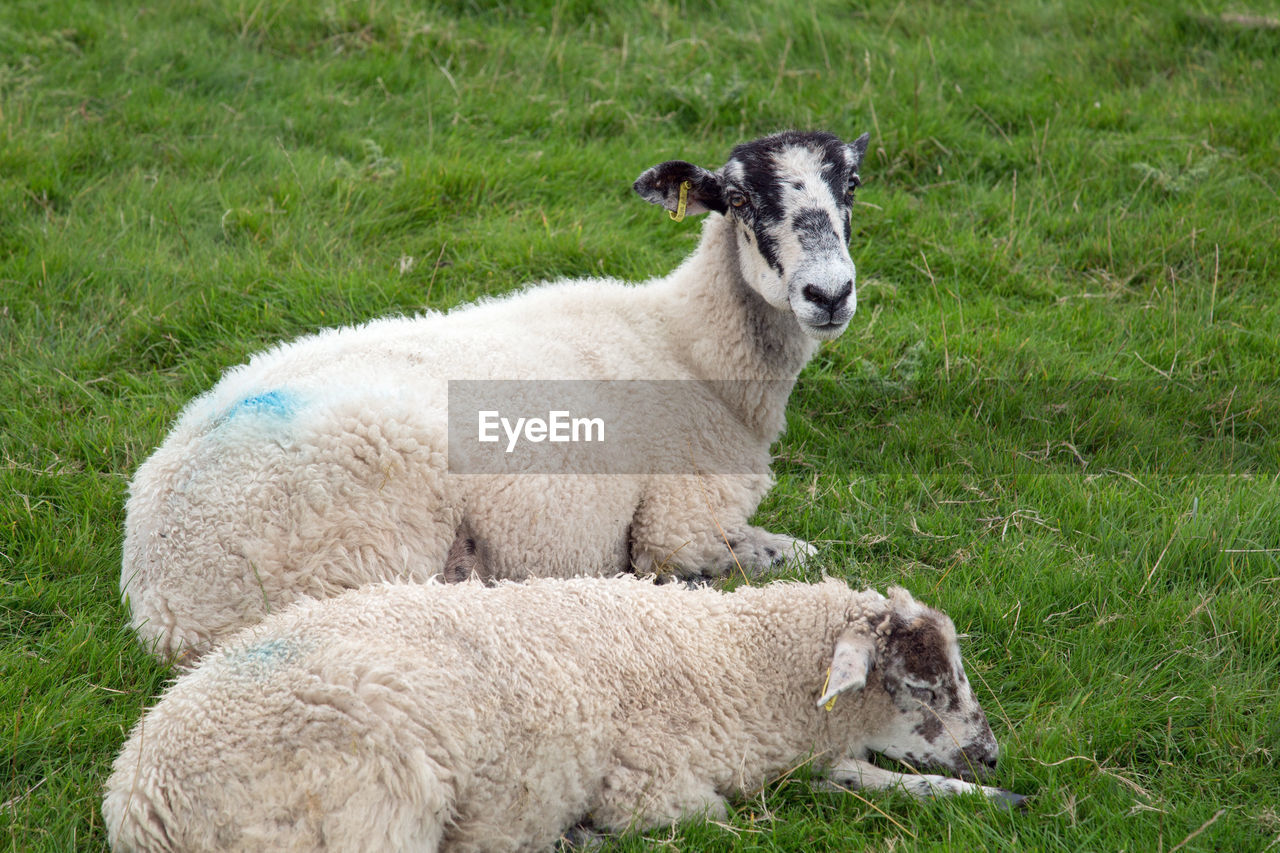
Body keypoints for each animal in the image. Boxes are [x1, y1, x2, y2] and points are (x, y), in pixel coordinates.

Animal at [99, 573, 1024, 845]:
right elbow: (711, 808)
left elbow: (865, 777)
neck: (730, 661)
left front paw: (992, 799)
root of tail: (140, 801)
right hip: (378, 794)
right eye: (925, 684)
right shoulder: (652, 785)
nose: (991, 754)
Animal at [124, 128, 875, 655]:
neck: (690, 347)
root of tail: (164, 597)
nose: (829, 293)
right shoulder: (681, 524)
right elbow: (789, 555)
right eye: (741, 200)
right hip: (371, 545)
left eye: (853, 185)